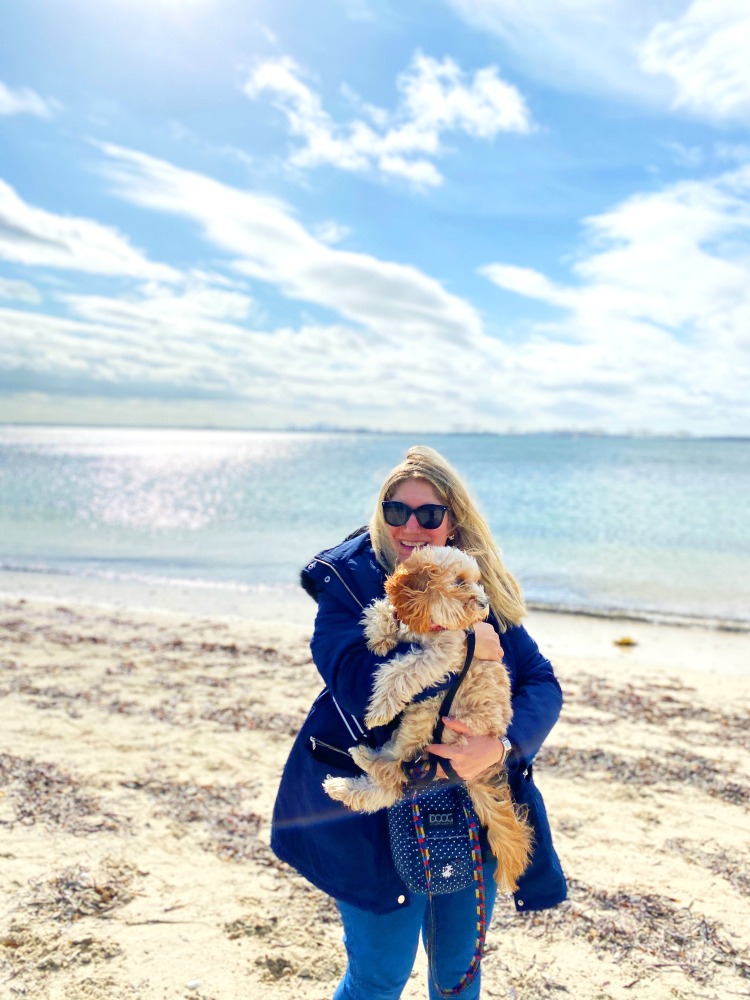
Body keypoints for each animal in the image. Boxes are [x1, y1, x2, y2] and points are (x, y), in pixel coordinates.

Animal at [324, 544, 536, 896]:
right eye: (460, 581)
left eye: (477, 581)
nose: (484, 604)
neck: (429, 626)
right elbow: (383, 612)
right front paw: (381, 632)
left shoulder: (442, 656)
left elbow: (398, 672)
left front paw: (380, 708)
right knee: (390, 784)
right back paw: (345, 781)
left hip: (431, 720)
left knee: (394, 778)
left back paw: (361, 763)